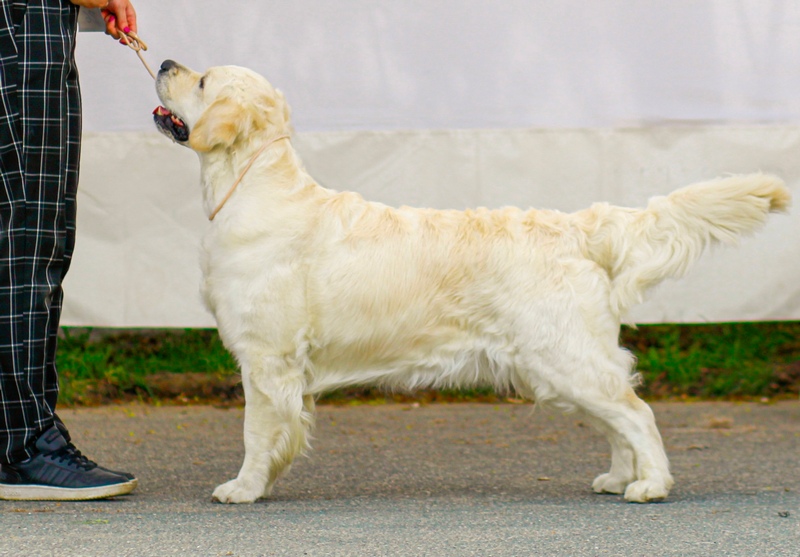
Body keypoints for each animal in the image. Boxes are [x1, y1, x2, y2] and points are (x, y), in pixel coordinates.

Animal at [153, 58, 792, 502]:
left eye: (203, 80)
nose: (162, 62)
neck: (255, 186)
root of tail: (577, 226)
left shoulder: (267, 358)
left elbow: (256, 433)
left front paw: (244, 488)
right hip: (558, 366)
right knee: (617, 419)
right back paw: (616, 477)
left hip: (563, 357)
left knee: (638, 414)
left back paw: (651, 485)